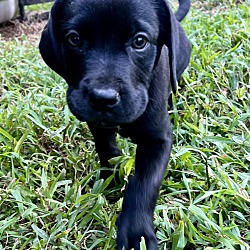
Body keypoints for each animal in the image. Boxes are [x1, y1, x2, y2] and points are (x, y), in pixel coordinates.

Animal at [40, 0, 190, 249]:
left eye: (139, 41)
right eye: (74, 39)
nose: (103, 98)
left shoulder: (159, 139)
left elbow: (145, 182)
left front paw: (137, 233)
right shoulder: (97, 125)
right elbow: (107, 149)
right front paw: (111, 178)